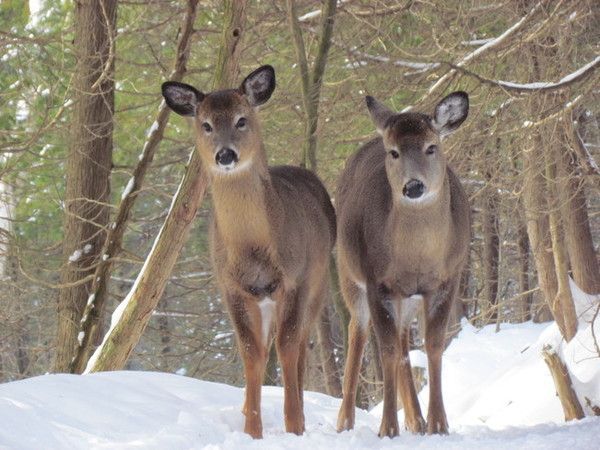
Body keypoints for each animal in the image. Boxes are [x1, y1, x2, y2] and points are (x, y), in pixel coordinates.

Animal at [162, 65, 336, 438]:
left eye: (242, 120)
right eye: (206, 124)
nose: (225, 155)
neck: (253, 249)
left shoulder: (296, 280)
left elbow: (288, 346)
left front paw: (294, 425)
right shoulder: (231, 288)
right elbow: (250, 352)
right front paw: (252, 429)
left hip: (319, 284)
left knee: (300, 346)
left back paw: (299, 410)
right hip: (265, 300)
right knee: (269, 345)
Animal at [336, 92, 472, 440]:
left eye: (431, 147)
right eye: (394, 152)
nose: (413, 187)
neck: (417, 257)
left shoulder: (447, 279)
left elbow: (434, 345)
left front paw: (438, 423)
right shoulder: (378, 282)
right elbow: (385, 350)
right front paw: (387, 428)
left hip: (408, 297)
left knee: (403, 341)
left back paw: (416, 419)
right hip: (348, 273)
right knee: (358, 333)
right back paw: (345, 421)